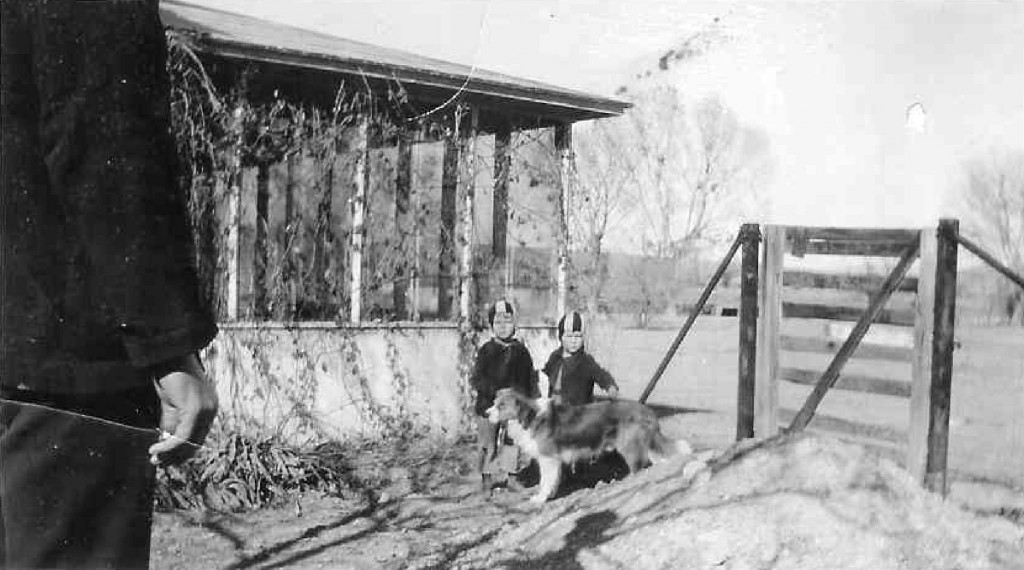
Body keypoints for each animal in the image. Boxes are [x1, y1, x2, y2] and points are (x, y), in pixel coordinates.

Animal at [483, 386, 692, 501]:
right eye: (494, 402)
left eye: (501, 406)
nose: (485, 413)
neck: (531, 416)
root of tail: (648, 410)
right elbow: (552, 481)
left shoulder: (548, 458)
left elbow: (546, 481)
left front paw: (541, 498)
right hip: (646, 447)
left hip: (631, 449)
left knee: (638, 470)